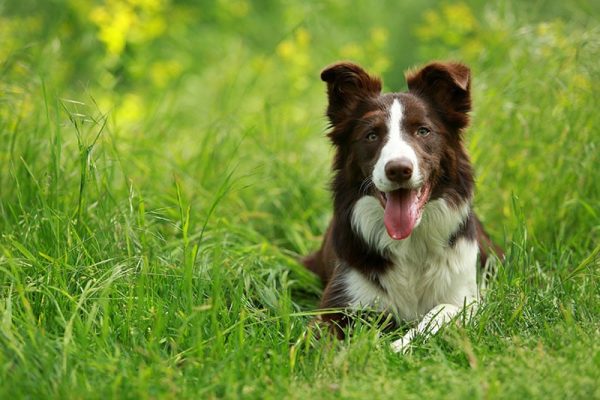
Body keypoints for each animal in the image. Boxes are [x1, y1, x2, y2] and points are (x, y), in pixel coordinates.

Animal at [302, 61, 504, 352]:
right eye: (371, 135)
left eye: (423, 131)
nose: (398, 170)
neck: (410, 243)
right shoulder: (339, 300)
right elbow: (321, 336)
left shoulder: (467, 297)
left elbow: (441, 311)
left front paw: (396, 347)